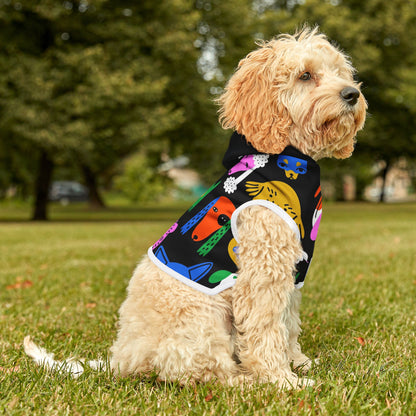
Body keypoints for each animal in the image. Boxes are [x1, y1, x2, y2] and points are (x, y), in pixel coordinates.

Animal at [24, 27, 366, 388]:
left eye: (340, 72)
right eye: (305, 75)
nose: (352, 94)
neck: (285, 157)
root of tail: (122, 359)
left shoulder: (291, 272)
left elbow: (288, 323)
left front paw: (298, 363)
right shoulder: (262, 271)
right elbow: (266, 328)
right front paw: (281, 380)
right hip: (202, 317)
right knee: (200, 371)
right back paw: (244, 380)